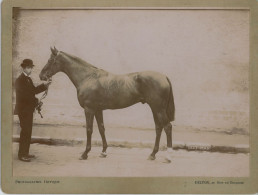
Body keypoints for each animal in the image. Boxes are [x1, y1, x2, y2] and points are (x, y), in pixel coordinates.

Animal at [39, 46, 175, 162]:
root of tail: (164, 77)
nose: (41, 76)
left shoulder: (89, 109)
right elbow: (101, 128)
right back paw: (152, 155)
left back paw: (168, 156)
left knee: (167, 127)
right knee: (158, 128)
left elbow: (89, 129)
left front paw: (85, 154)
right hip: (154, 108)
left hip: (158, 109)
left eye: (50, 60)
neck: (88, 77)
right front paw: (103, 152)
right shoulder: (98, 110)